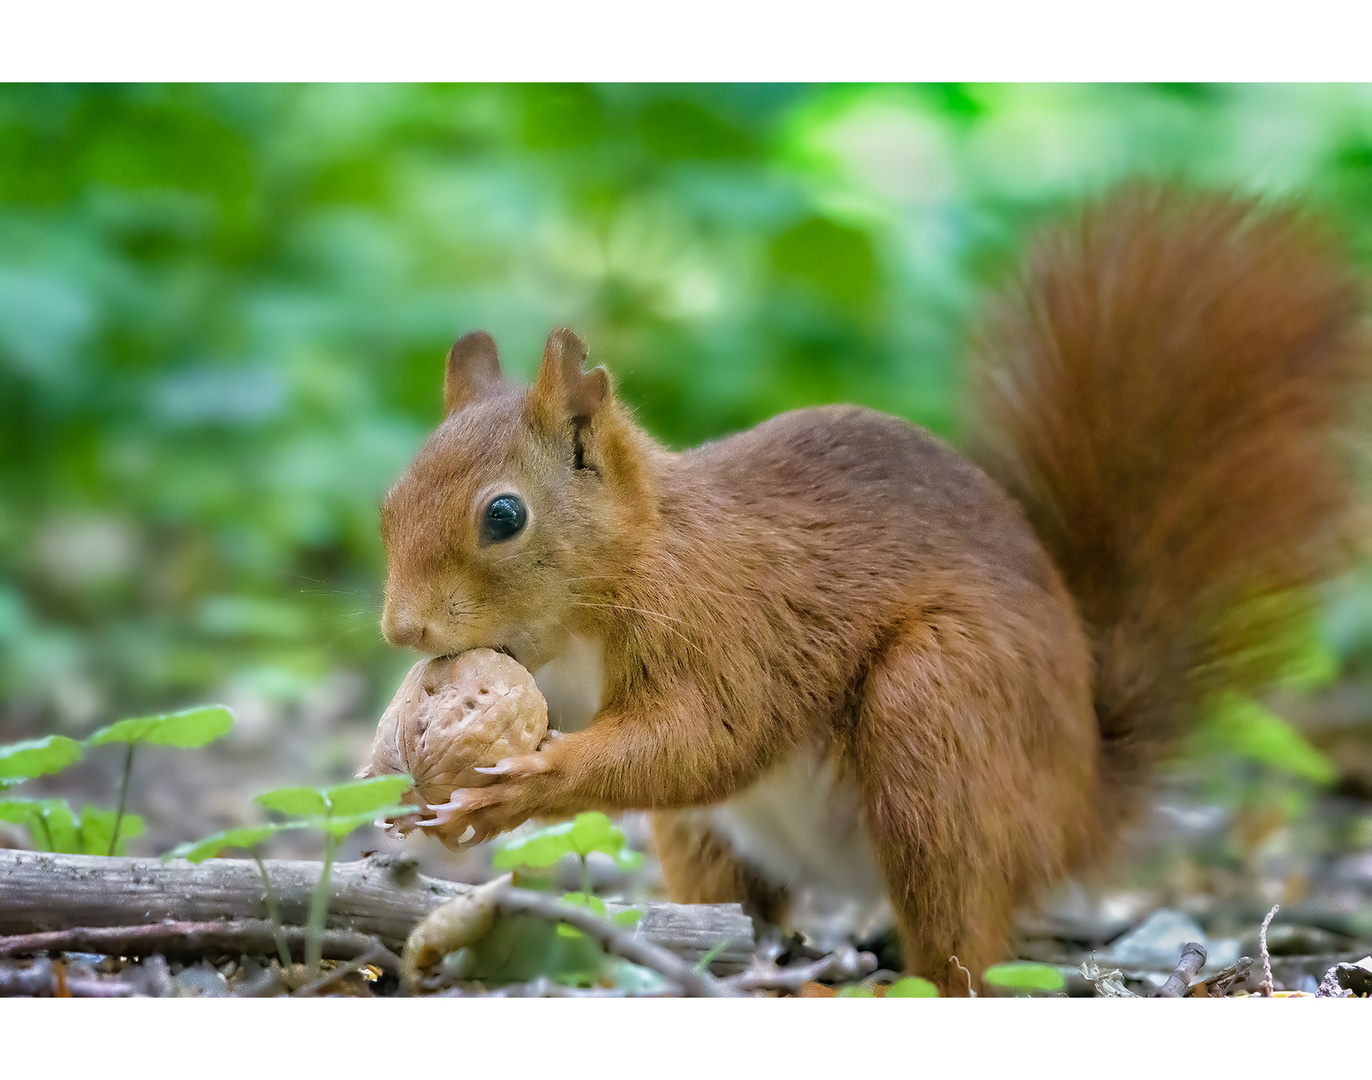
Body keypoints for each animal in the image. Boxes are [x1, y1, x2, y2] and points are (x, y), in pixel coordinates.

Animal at [378, 185, 1372, 988]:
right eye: (389, 500)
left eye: (505, 516)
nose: (400, 631)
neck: (630, 565)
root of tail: (1078, 808)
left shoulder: (727, 619)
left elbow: (707, 737)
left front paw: (525, 783)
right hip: (711, 839)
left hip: (941, 713)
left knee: (962, 934)